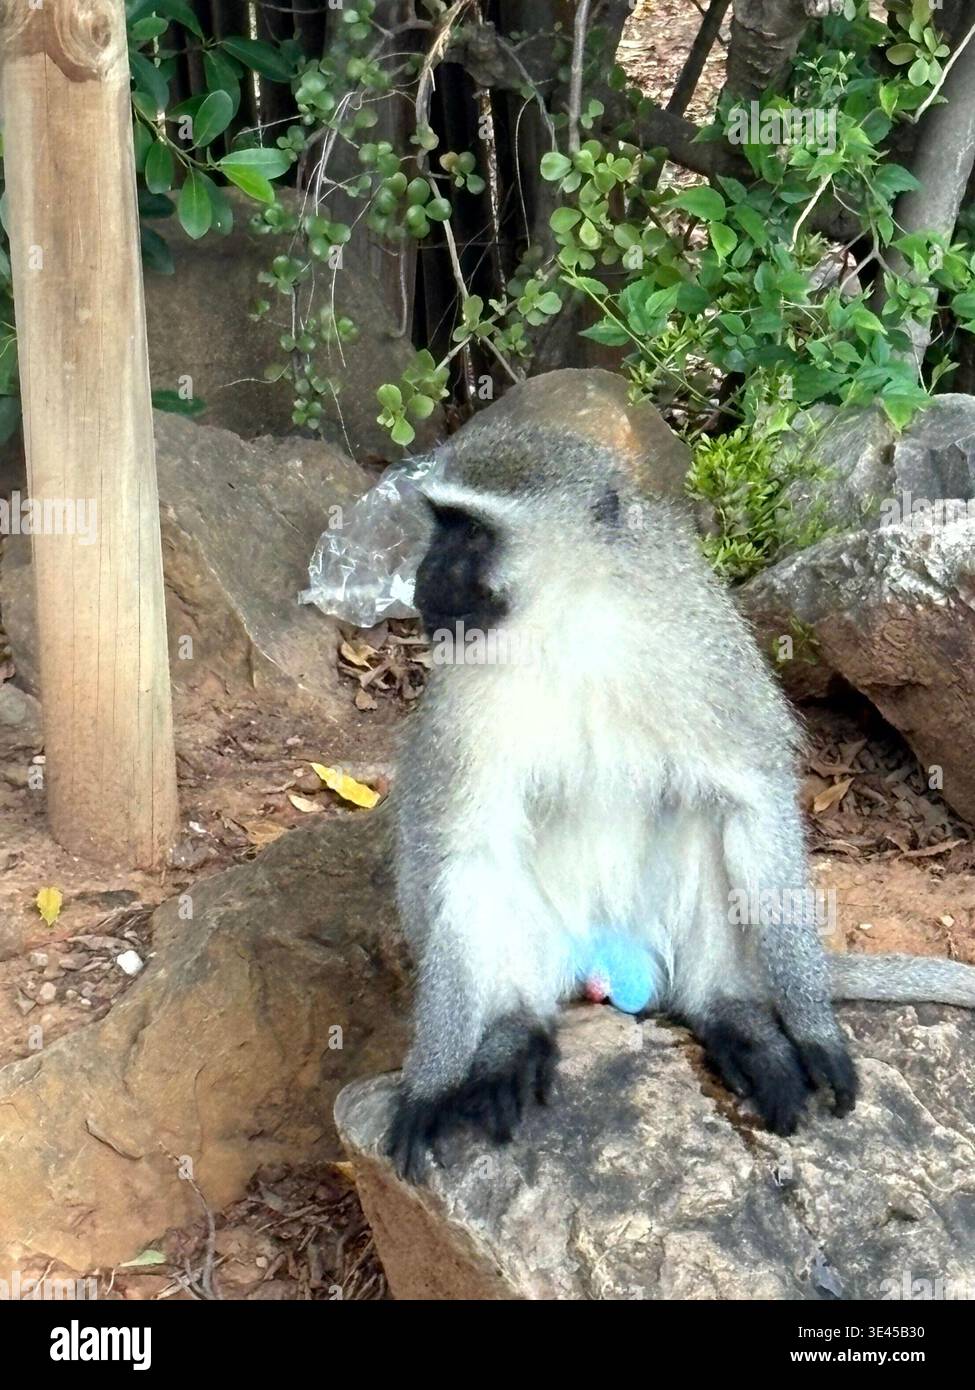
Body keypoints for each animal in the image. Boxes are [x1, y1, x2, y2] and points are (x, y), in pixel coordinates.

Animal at [387, 414, 975, 1182]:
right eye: (441, 524)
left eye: (474, 534)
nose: (423, 577)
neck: (567, 625)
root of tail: (606, 964)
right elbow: (462, 855)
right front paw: (431, 1081)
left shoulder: (701, 642)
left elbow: (753, 797)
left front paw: (812, 1027)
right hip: (553, 947)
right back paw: (511, 1033)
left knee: (708, 816)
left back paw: (732, 1013)